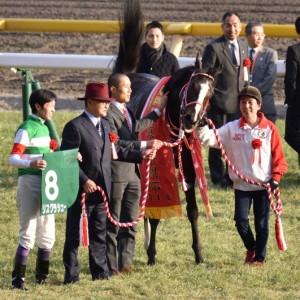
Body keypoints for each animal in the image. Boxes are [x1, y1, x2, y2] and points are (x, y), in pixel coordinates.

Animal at [112, 0, 220, 264]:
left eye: (210, 93)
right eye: (192, 87)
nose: (192, 119)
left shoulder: (189, 166)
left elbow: (192, 210)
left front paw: (199, 253)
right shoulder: (157, 164)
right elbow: (156, 212)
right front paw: (151, 253)